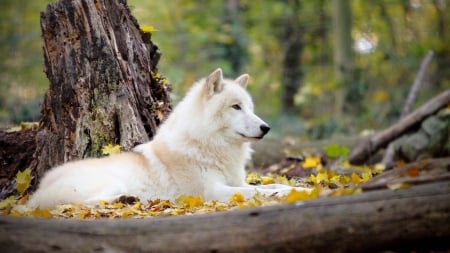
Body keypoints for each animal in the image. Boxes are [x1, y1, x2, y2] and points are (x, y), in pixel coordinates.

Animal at [27, 68, 306, 209]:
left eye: (249, 107)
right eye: (236, 107)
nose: (266, 127)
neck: (208, 145)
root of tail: (36, 191)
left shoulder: (237, 183)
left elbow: (269, 186)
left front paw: (300, 188)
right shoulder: (212, 191)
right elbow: (258, 192)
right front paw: (291, 191)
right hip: (109, 183)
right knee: (83, 205)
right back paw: (127, 199)